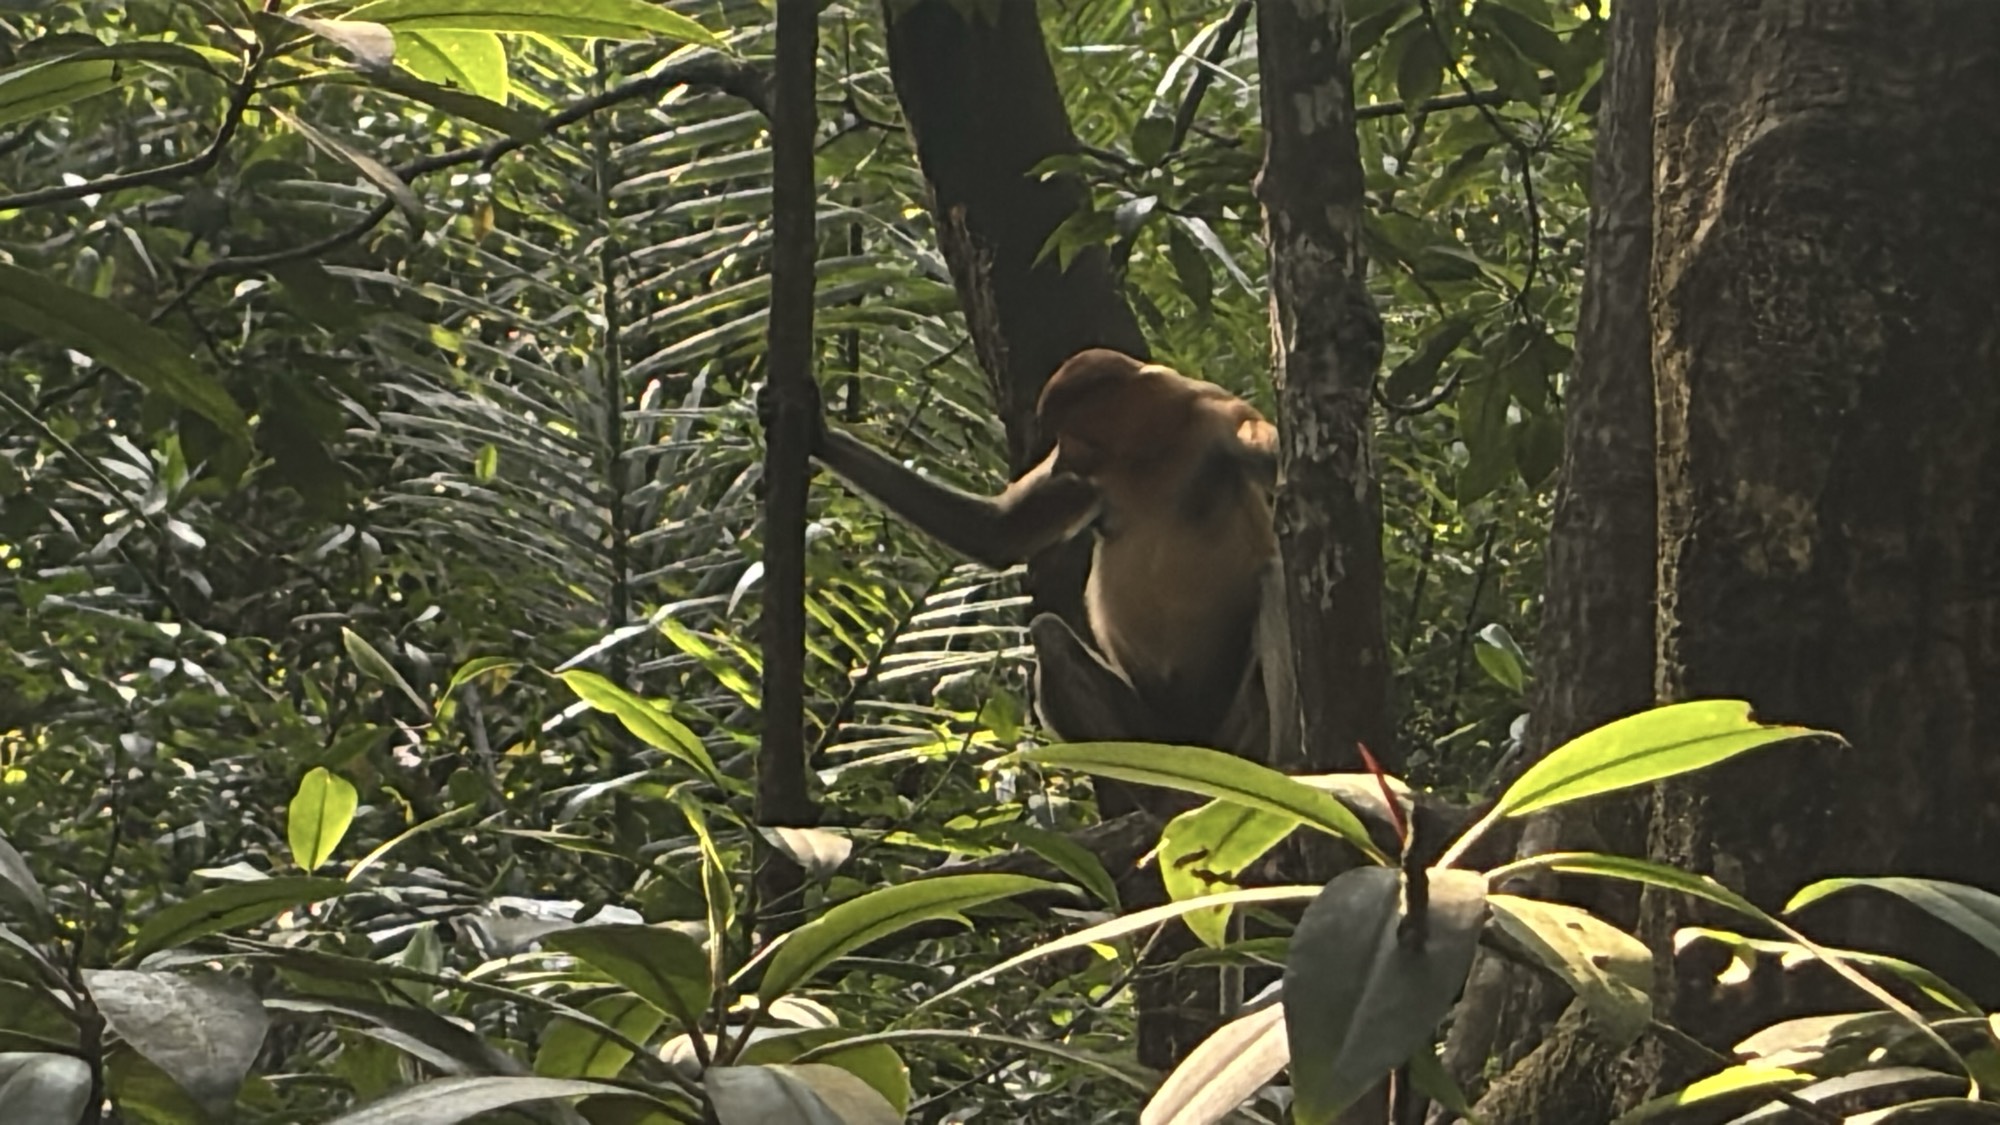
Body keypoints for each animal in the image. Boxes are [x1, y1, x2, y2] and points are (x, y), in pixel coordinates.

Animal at [771, 347, 1296, 771]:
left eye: (1075, 436)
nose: (1060, 461)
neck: (1155, 451)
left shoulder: (1222, 418)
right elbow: (1000, 534)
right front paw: (812, 426)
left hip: (1236, 725)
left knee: (1275, 580)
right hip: (1151, 725)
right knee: (1049, 634)